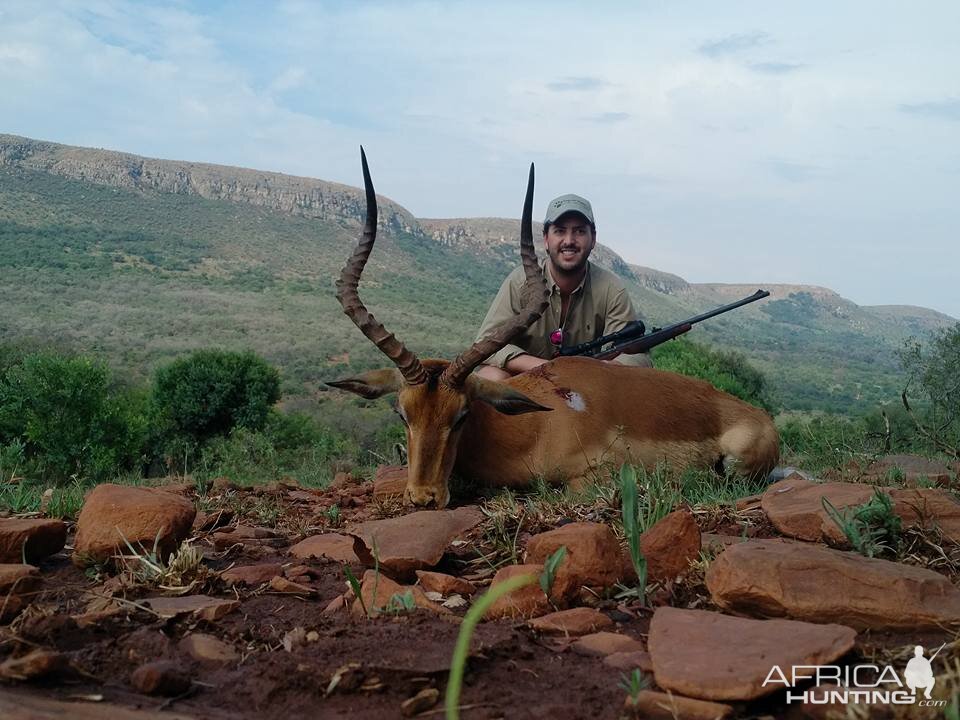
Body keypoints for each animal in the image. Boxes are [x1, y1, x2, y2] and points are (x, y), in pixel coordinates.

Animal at [330, 149, 780, 510]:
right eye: (402, 413)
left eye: (461, 415)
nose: (424, 498)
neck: (535, 426)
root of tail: (757, 415)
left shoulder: (595, 477)